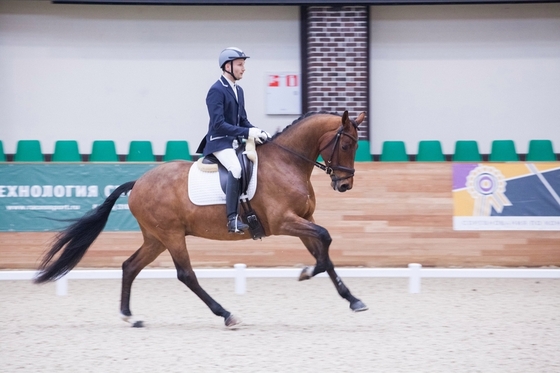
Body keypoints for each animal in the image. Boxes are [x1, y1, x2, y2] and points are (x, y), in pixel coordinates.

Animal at [34, 109, 368, 326]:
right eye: (346, 144)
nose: (345, 185)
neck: (287, 162)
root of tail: (137, 183)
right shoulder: (283, 221)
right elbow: (325, 239)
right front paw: (308, 274)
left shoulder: (301, 220)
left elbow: (324, 253)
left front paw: (352, 299)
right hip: (171, 235)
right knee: (186, 275)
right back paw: (226, 314)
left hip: (156, 238)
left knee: (130, 266)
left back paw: (129, 317)